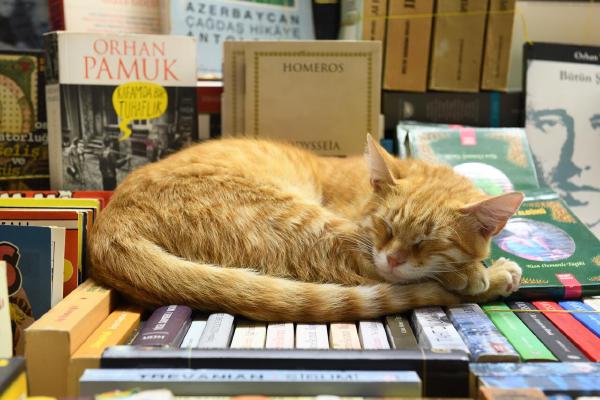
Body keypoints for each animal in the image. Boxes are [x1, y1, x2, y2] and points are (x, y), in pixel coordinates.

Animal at [88, 135, 523, 321]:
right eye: (383, 226)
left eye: (427, 243)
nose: (395, 258)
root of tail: (107, 229)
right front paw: (481, 272)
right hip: (313, 226)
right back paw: (491, 278)